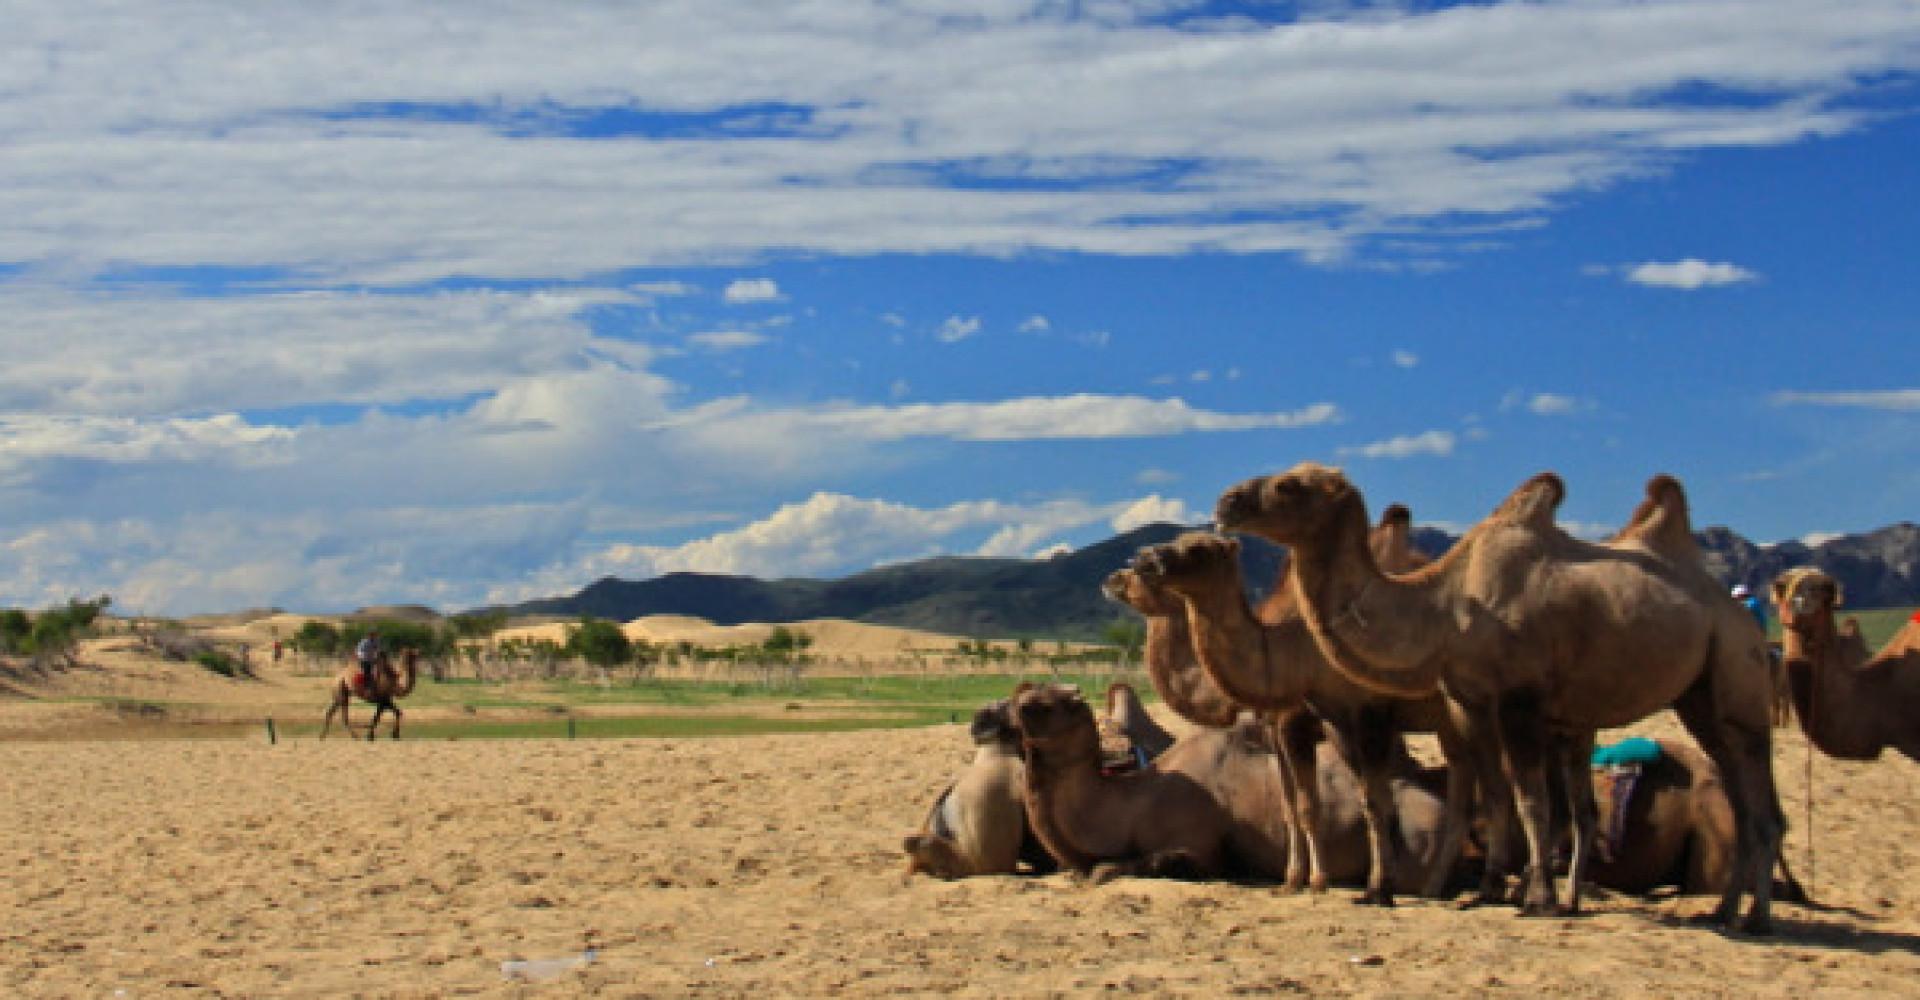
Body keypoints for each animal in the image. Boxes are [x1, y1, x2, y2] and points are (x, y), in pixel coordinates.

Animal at [1130, 527, 1502, 906]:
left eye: (1199, 549)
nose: (1143, 559)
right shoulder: (1280, 728)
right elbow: (1292, 804)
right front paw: (1293, 881)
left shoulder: (1332, 721)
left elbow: (1345, 803)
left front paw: (1338, 883)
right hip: (1450, 724)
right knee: (1464, 789)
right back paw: (1437, 888)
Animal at [1215, 464, 1785, 931]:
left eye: (1289, 485)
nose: (1227, 501)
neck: (1445, 609)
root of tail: (1739, 613)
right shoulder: (1470, 703)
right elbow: (1493, 794)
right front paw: (1489, 891)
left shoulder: (1519, 699)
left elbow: (1530, 800)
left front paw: (1537, 899)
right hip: (1699, 698)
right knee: (1737, 794)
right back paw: (1724, 910)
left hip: (1740, 675)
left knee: (1761, 796)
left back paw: (1755, 916)